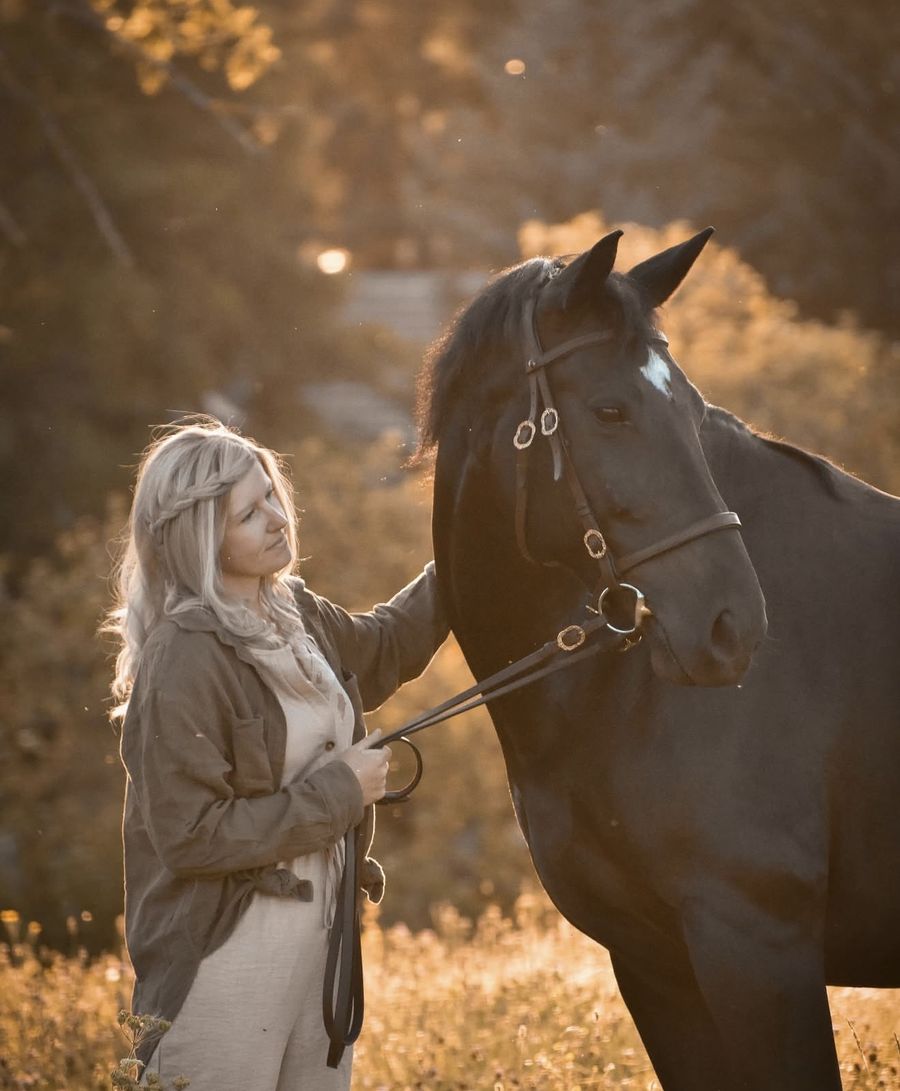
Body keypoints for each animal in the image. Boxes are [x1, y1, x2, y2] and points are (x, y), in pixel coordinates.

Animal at [416, 228, 900, 1091]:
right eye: (610, 410)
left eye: (693, 412)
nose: (733, 625)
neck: (611, 698)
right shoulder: (653, 964)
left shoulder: (757, 945)